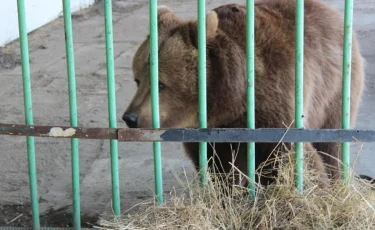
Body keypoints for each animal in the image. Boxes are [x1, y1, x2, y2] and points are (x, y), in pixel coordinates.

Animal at [123, 0, 364, 187]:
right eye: (138, 79)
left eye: (160, 84)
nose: (130, 118)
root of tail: (328, 11)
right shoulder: (211, 134)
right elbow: (218, 167)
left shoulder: (274, 102)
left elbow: (290, 153)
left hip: (335, 88)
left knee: (331, 143)